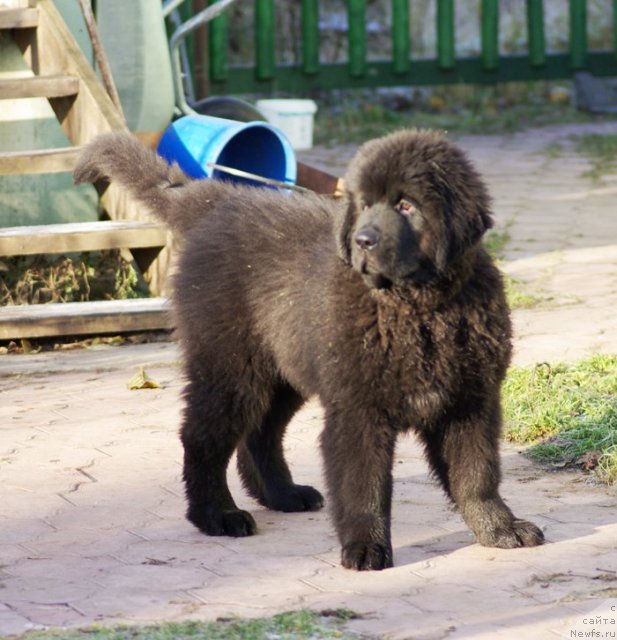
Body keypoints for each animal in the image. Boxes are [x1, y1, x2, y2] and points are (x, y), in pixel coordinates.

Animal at [74, 130, 540, 568]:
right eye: (363, 205)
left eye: (406, 206)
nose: (363, 240)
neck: (419, 308)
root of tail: (219, 201)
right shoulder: (357, 408)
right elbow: (364, 485)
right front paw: (366, 548)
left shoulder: (471, 401)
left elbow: (476, 475)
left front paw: (499, 528)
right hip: (230, 367)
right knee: (203, 439)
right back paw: (218, 515)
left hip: (282, 368)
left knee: (260, 435)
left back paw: (282, 494)